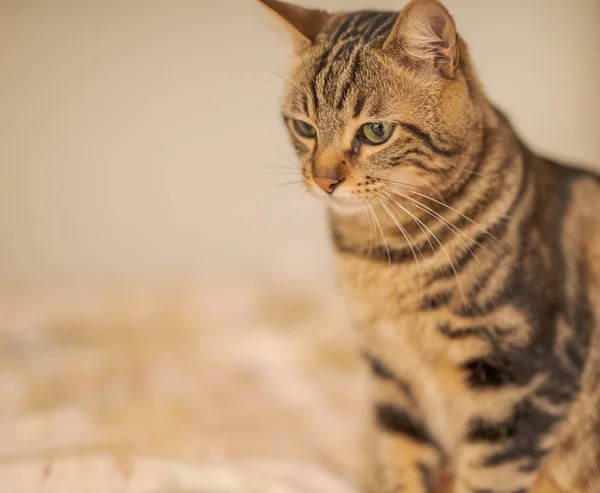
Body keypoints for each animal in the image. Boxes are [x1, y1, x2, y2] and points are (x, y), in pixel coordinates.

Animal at [258, 0, 600, 492]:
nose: (324, 180)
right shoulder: (391, 376)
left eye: (376, 131)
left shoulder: (524, 380)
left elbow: (485, 479)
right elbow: (403, 464)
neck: (384, 257)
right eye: (305, 128)